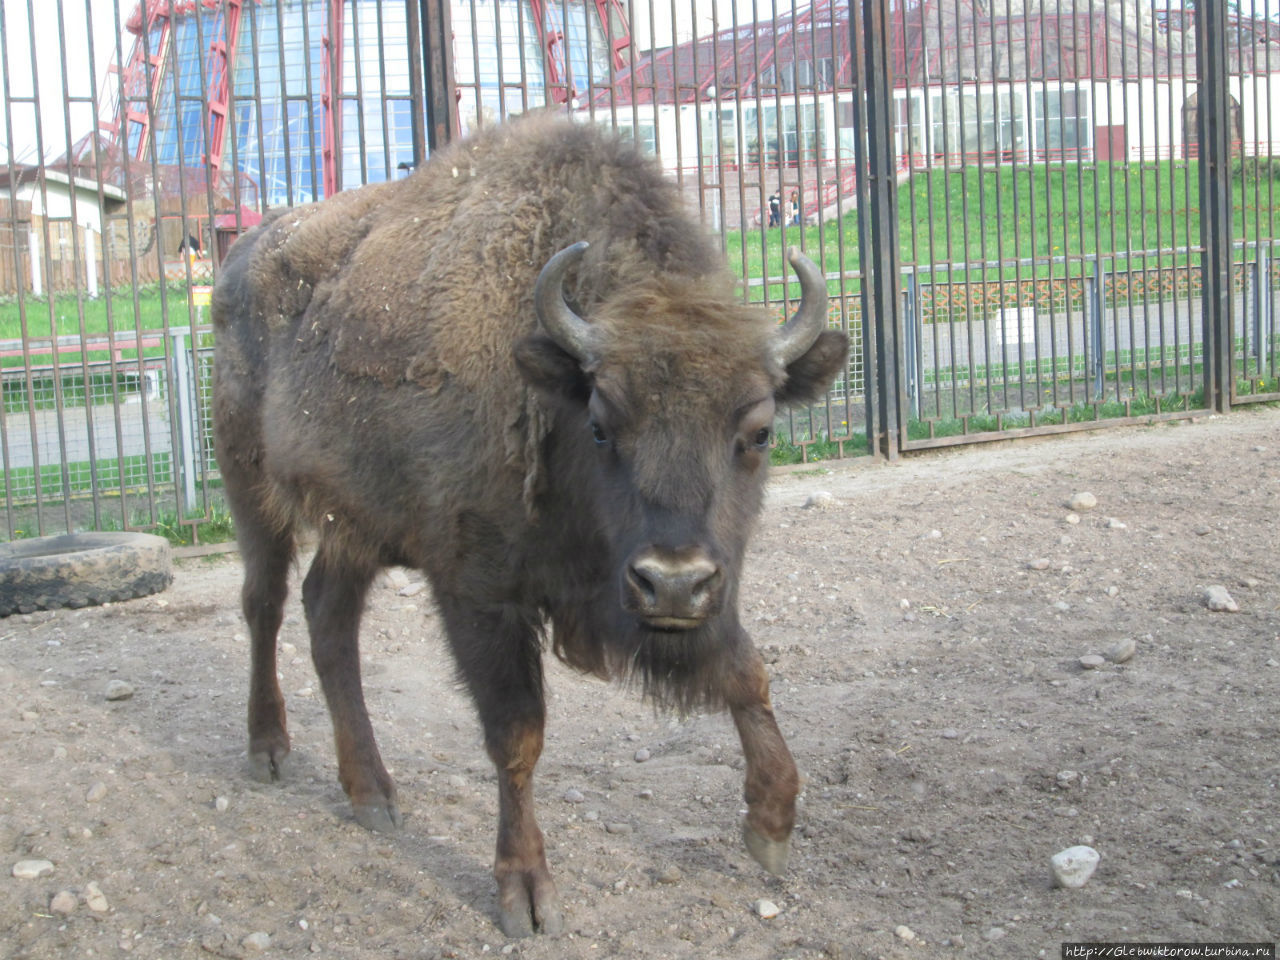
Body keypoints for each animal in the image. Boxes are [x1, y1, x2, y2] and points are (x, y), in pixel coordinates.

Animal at [209, 114, 849, 942]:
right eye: (603, 424)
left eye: (760, 431)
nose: (672, 582)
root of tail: (242, 255)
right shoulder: (479, 593)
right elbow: (517, 735)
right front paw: (525, 892)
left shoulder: (694, 596)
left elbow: (747, 671)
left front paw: (771, 825)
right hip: (252, 487)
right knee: (265, 604)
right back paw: (269, 749)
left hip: (353, 523)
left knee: (330, 620)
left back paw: (373, 793)